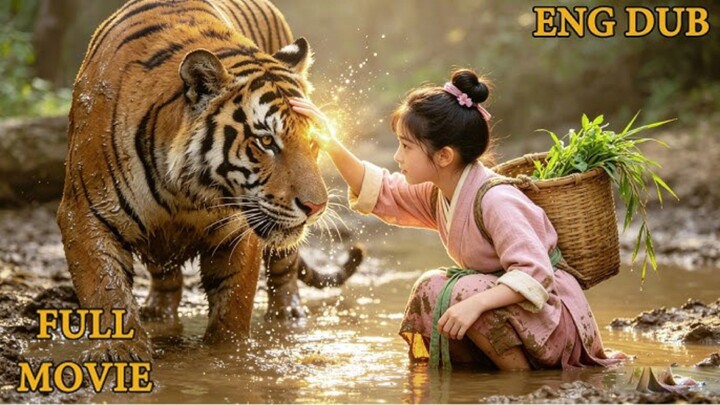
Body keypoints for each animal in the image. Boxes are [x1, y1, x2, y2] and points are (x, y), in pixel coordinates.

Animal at [57, 0, 349, 362]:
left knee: (284, 267)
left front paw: (227, 355)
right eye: (266, 141)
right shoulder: (84, 214)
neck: (182, 191)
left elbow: (233, 303)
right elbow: (105, 288)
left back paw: (290, 315)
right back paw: (157, 312)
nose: (316, 207)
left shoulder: (238, 230)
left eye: (313, 141)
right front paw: (119, 352)